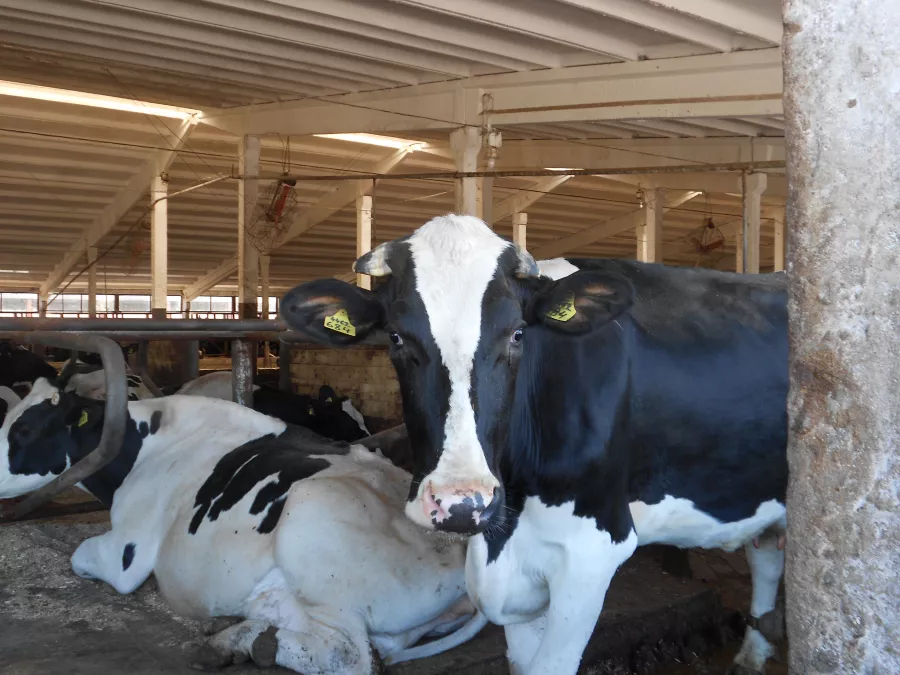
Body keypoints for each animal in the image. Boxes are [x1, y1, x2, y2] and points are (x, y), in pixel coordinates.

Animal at [280, 214, 788, 675]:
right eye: (397, 337)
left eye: (517, 334)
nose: (462, 504)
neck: (506, 527)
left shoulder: (592, 551)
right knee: (767, 556)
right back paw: (751, 657)